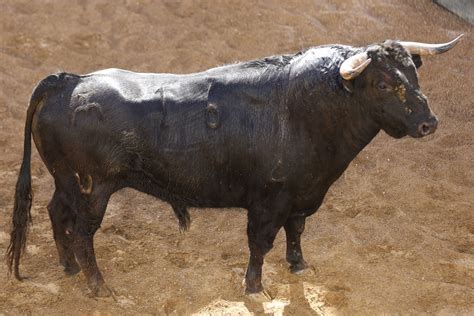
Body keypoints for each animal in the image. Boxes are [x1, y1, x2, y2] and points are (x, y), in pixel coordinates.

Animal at [7, 34, 462, 296]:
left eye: (414, 75)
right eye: (384, 83)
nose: (429, 123)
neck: (310, 110)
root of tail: (70, 81)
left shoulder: (304, 194)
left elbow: (296, 232)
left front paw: (298, 266)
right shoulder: (268, 201)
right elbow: (260, 243)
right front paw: (255, 287)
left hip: (66, 181)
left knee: (56, 214)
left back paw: (68, 267)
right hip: (93, 188)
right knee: (84, 232)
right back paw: (99, 286)